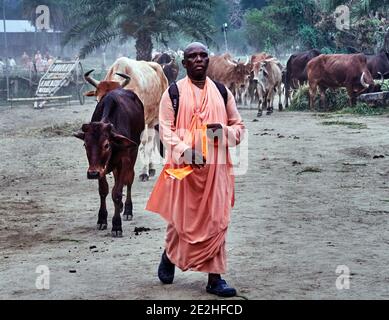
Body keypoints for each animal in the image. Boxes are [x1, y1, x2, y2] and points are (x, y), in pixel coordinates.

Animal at [73, 87, 145, 238]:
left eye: (106, 145)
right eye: (85, 144)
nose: (92, 174)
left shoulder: (124, 161)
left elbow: (116, 193)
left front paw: (117, 225)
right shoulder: (100, 169)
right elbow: (104, 190)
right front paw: (102, 219)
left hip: (133, 154)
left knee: (129, 180)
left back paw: (127, 210)